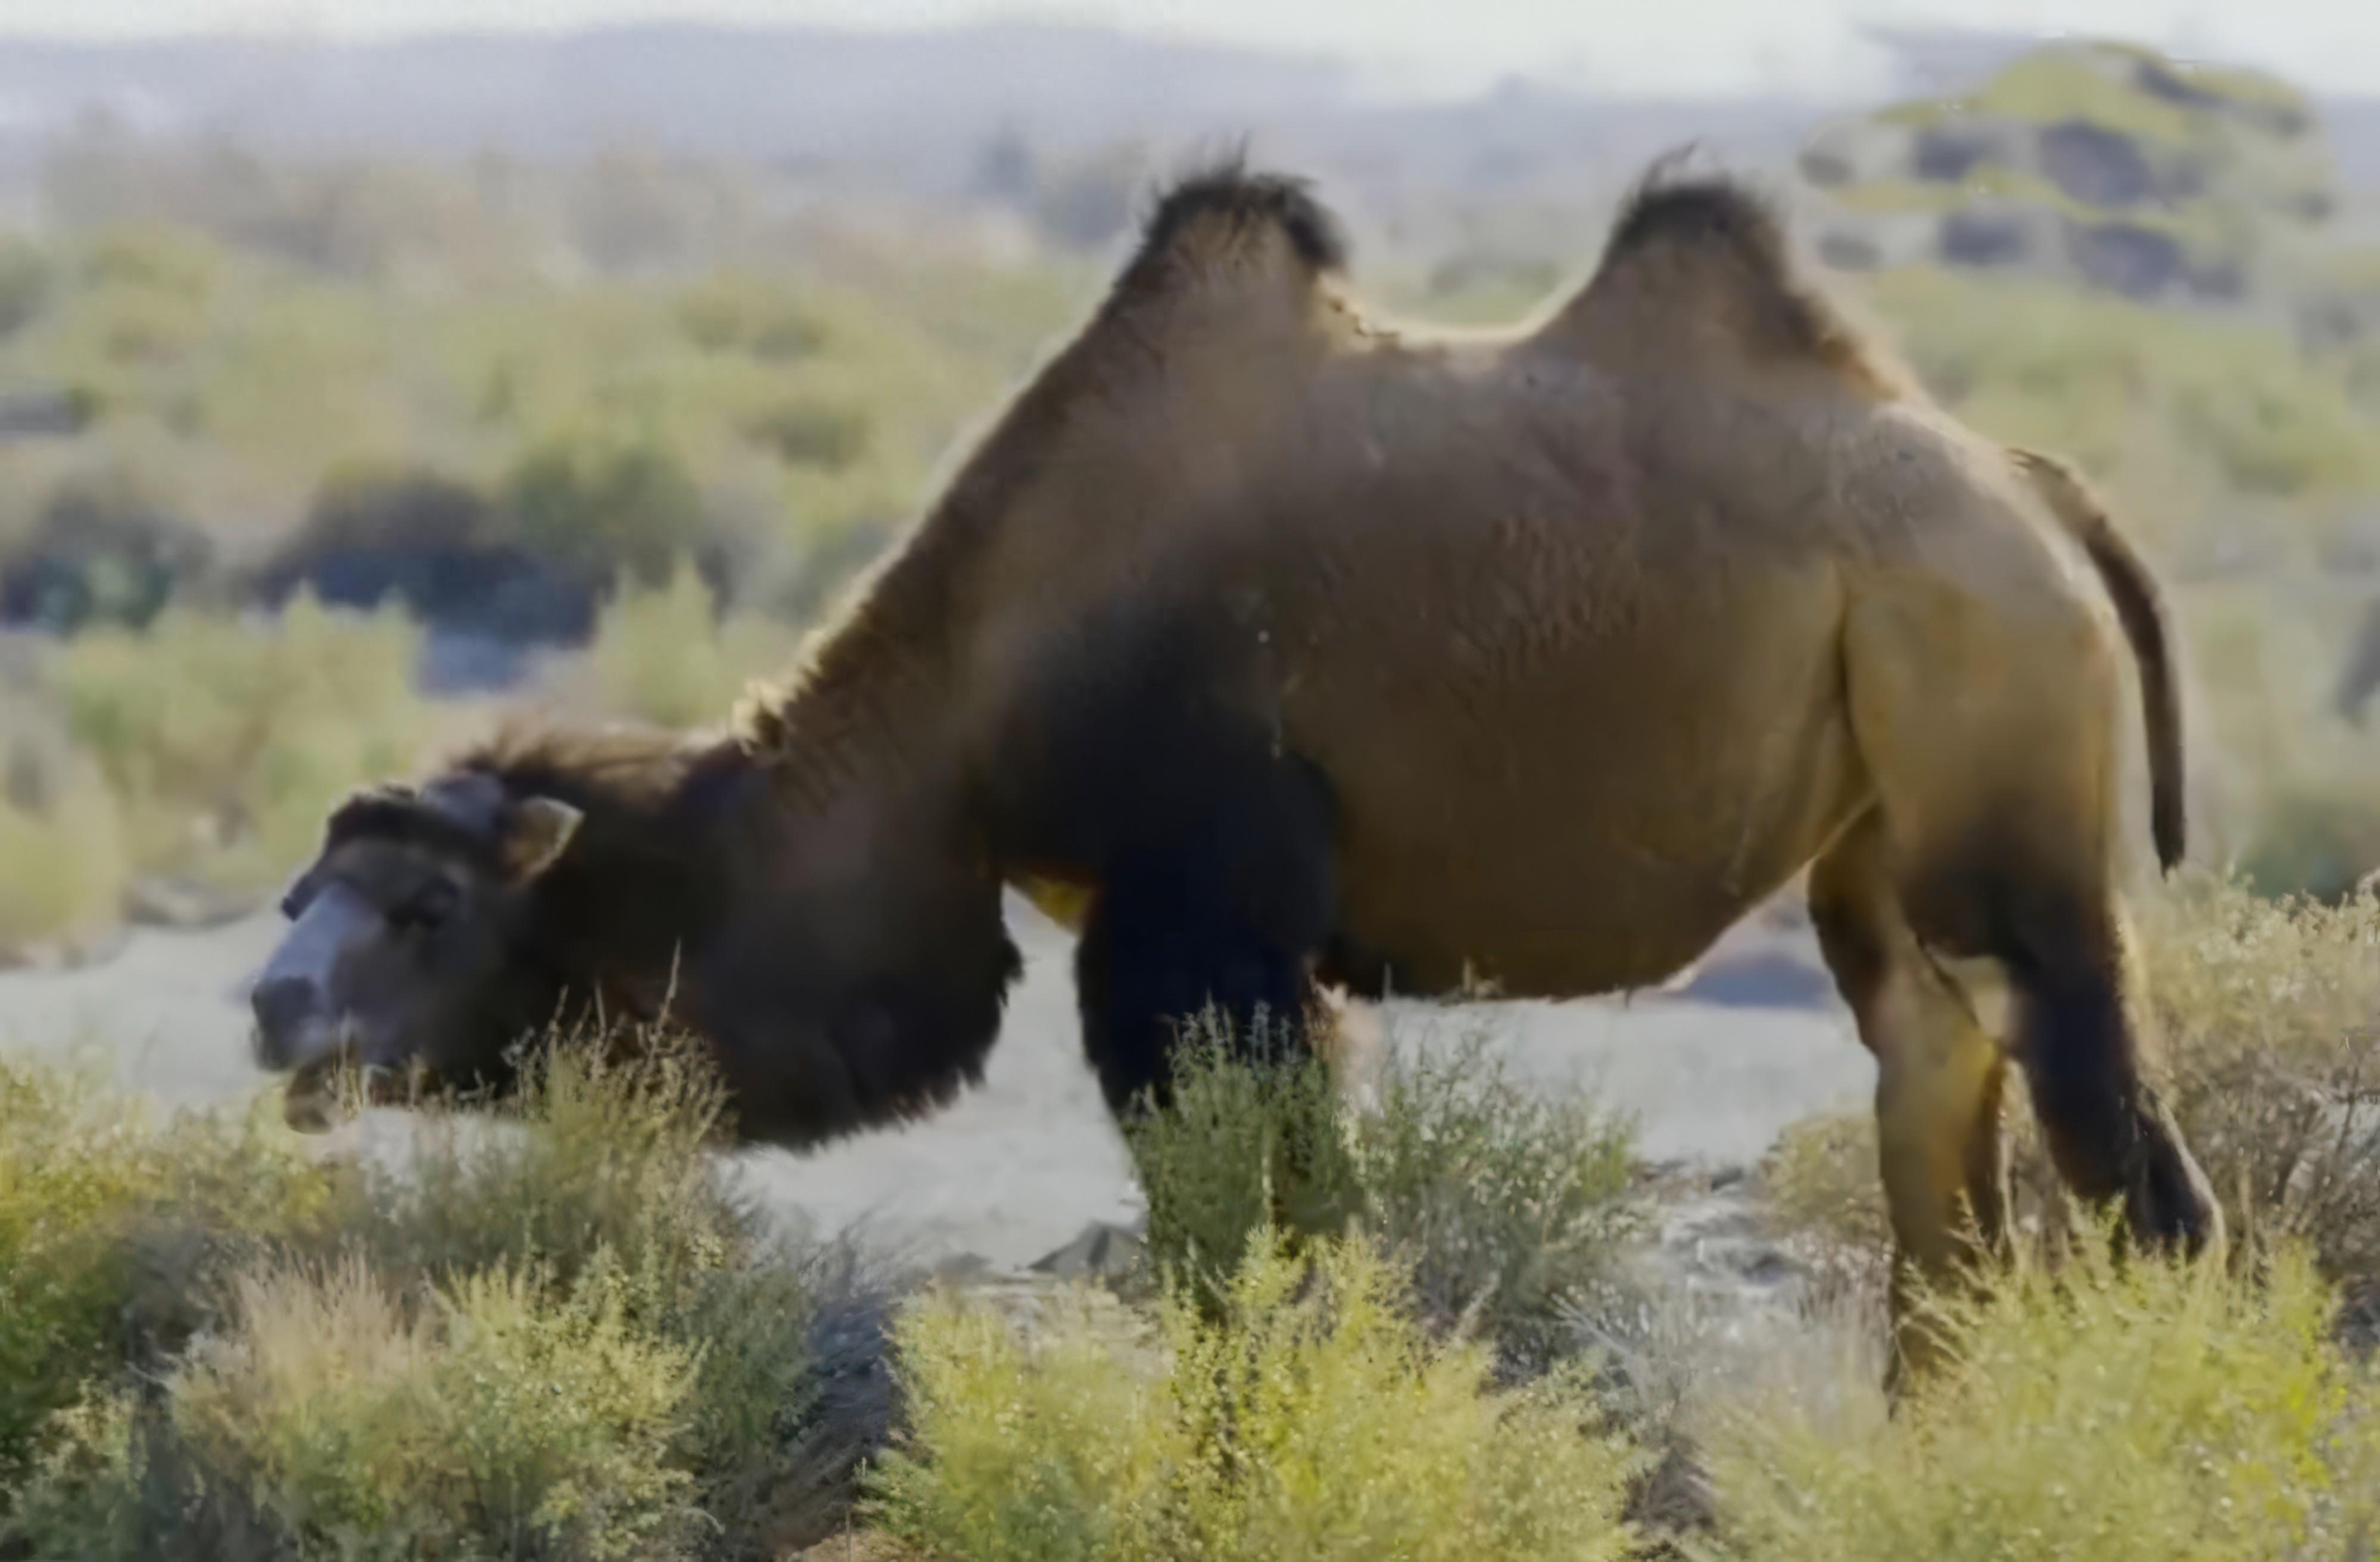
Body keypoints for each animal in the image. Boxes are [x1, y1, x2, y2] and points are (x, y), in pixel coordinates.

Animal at [251, 152, 2218, 1362]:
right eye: (296, 889)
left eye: (422, 907)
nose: (272, 1010)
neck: (968, 707)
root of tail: (2037, 492)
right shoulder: (1264, 946)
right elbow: (1297, 1200)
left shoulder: (1191, 912)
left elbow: (1237, 1220)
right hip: (1886, 802)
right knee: (1933, 1088)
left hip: (1986, 701)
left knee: (2106, 1119)